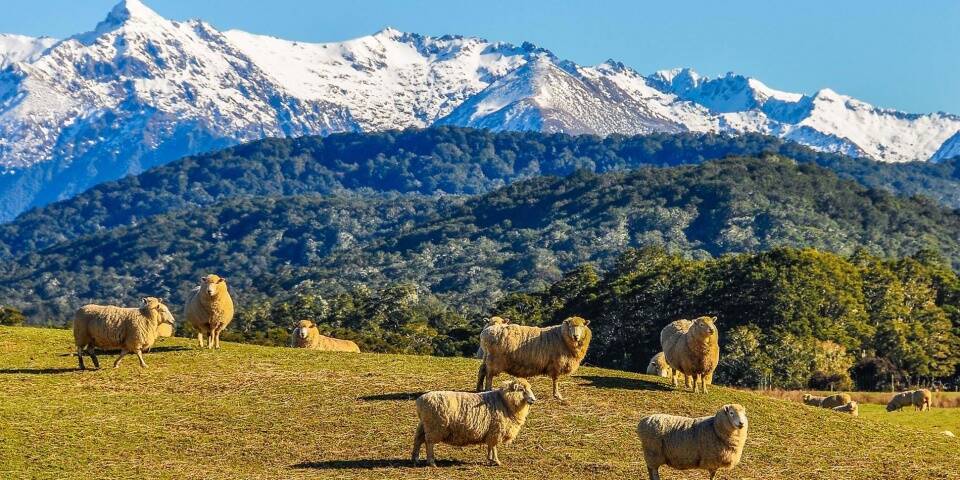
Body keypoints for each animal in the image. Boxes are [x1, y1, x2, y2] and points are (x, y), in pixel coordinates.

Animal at [408, 376, 536, 466]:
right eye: (521, 389)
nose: (533, 399)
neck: (504, 402)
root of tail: (420, 400)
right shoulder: (496, 430)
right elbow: (494, 446)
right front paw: (496, 461)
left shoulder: (491, 432)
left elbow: (490, 446)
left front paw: (490, 459)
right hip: (435, 427)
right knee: (429, 443)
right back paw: (431, 462)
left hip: (424, 425)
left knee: (418, 440)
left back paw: (415, 459)